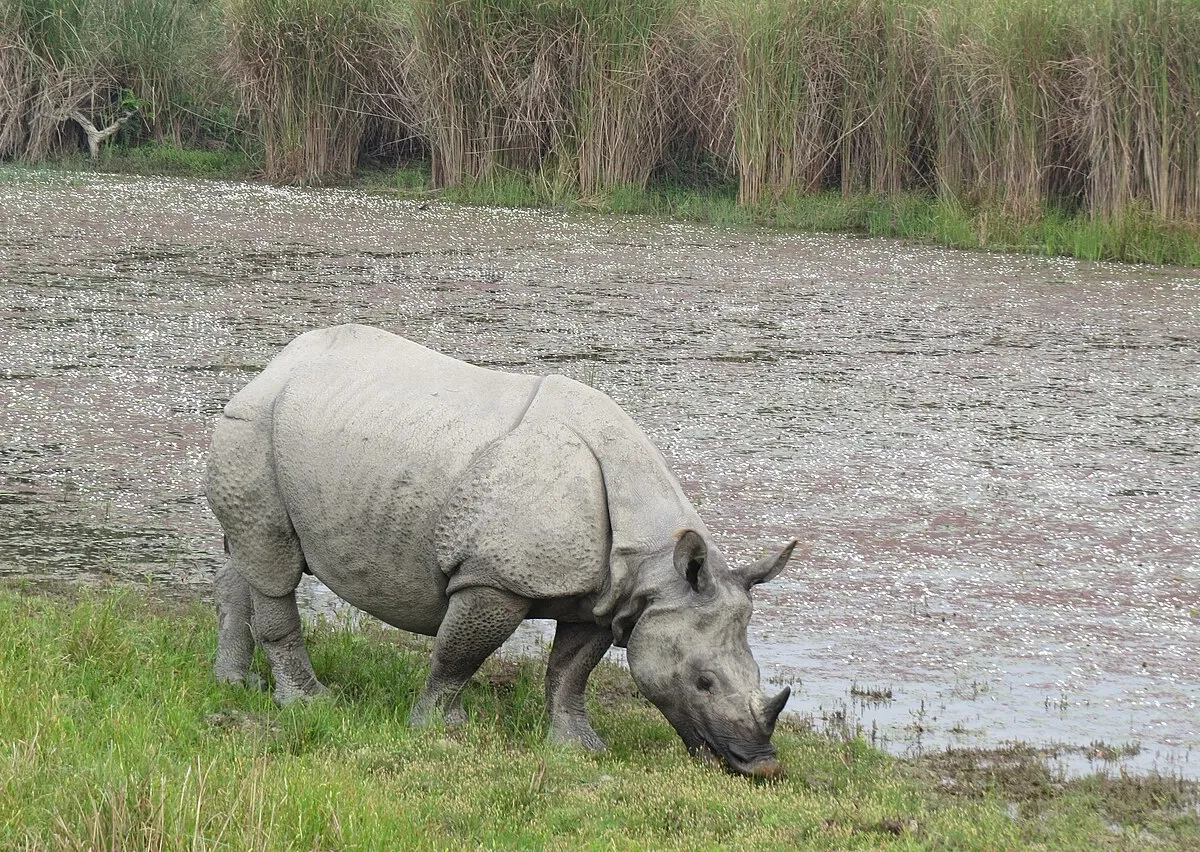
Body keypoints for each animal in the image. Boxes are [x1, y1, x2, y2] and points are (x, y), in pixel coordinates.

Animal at [206, 324, 796, 777]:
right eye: (703, 681)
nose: (763, 767)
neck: (654, 564)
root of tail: (273, 366)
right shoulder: (494, 579)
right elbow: (459, 654)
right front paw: (438, 730)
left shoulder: (603, 596)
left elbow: (570, 670)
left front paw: (580, 748)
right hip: (253, 427)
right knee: (275, 567)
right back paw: (309, 703)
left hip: (291, 432)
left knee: (248, 556)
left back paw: (235, 684)